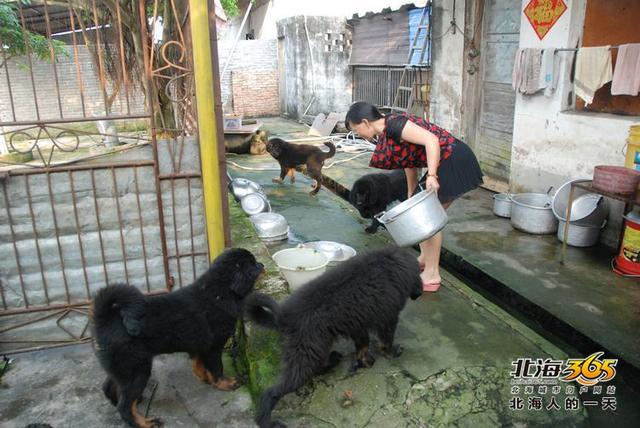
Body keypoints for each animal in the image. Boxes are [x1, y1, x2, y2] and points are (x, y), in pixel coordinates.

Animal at [90, 247, 262, 428]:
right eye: (252, 264)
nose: (262, 264)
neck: (220, 292)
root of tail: (105, 320)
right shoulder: (213, 347)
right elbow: (216, 368)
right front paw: (224, 383)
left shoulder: (200, 346)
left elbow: (199, 364)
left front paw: (204, 378)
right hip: (137, 369)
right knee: (124, 405)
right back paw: (144, 422)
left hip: (121, 367)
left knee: (110, 387)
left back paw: (133, 401)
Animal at [248, 247, 422, 428]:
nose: (419, 293)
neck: (392, 263)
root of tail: (284, 316)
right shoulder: (388, 316)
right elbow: (386, 339)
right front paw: (392, 352)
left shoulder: (357, 324)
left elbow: (362, 345)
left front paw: (365, 361)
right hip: (308, 351)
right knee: (274, 390)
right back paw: (266, 420)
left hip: (313, 347)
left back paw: (333, 360)